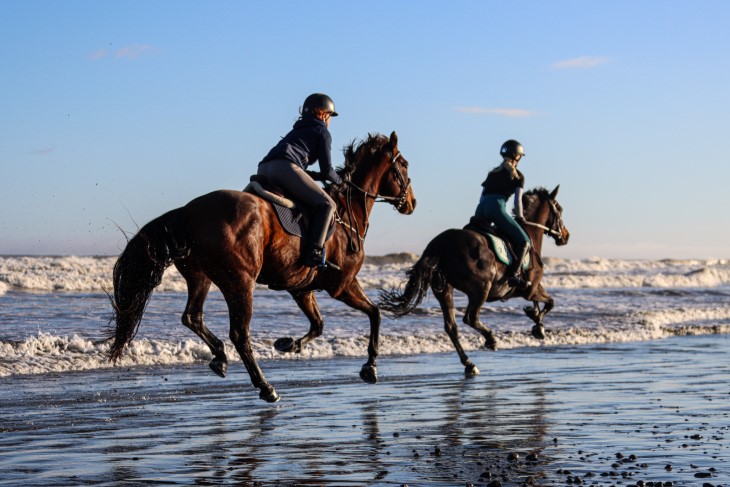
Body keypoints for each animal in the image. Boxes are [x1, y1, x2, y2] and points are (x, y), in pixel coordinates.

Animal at [108, 131, 416, 402]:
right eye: (403, 165)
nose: (411, 203)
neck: (346, 212)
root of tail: (189, 212)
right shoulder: (342, 285)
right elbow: (375, 314)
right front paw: (370, 367)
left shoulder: (302, 289)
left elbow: (318, 324)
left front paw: (288, 344)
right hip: (240, 282)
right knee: (239, 335)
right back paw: (265, 386)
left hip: (201, 276)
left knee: (192, 317)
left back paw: (220, 358)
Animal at [378, 186, 569, 375]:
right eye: (559, 209)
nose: (566, 236)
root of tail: (440, 243)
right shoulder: (529, 290)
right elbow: (550, 302)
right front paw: (538, 324)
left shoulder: (533, 288)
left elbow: (545, 303)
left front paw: (537, 321)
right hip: (481, 287)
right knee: (470, 318)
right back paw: (491, 340)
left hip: (444, 289)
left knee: (451, 327)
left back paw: (469, 363)